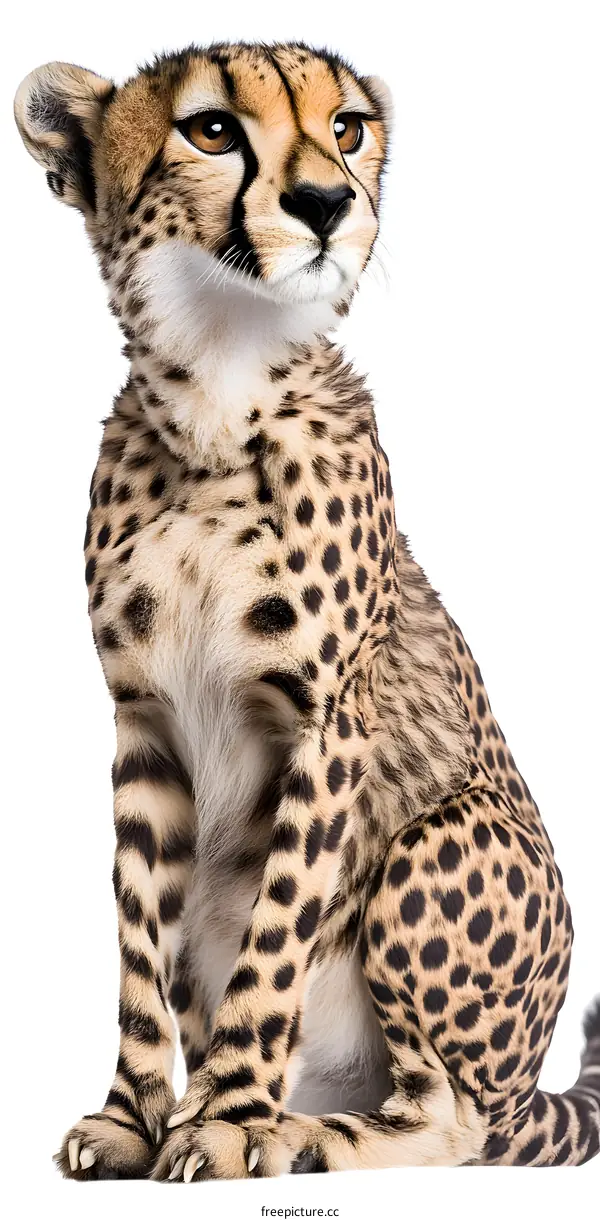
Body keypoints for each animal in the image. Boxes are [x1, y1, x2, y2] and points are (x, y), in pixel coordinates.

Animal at [14, 42, 599, 1181]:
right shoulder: (142, 721)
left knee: (454, 1121)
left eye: (348, 129)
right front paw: (133, 1118)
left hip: (444, 838)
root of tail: (528, 1092)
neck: (216, 400)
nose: (329, 202)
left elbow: (277, 933)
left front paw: (231, 1118)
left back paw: (304, 1132)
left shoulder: (329, 726)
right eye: (211, 130)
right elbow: (139, 941)